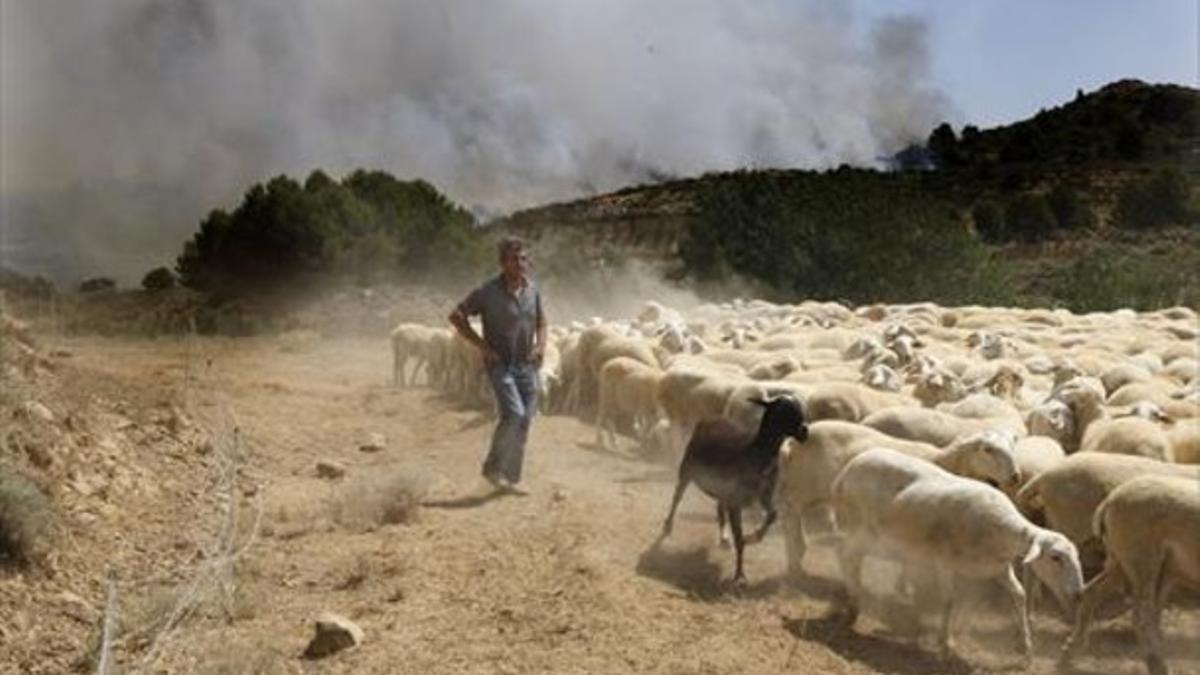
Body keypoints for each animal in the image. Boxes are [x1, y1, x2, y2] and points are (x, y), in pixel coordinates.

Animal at [662, 393, 811, 583]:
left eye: (800, 408)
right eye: (783, 410)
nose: (804, 431)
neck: (755, 452)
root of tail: (709, 419)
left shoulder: (765, 495)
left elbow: (772, 515)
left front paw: (754, 537)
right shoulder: (736, 502)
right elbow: (739, 540)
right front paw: (740, 575)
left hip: (721, 488)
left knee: (719, 508)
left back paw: (724, 538)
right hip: (686, 470)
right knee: (677, 497)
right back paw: (667, 527)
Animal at [772, 420, 1017, 571]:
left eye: (1012, 445)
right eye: (987, 449)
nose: (1016, 476)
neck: (943, 461)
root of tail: (794, 441)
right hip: (801, 487)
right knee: (790, 516)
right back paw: (795, 560)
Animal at [1060, 473, 1200, 672]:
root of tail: (1109, 502)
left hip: (1123, 560)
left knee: (1092, 592)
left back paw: (1068, 654)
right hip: (1142, 558)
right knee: (1141, 615)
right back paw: (1158, 664)